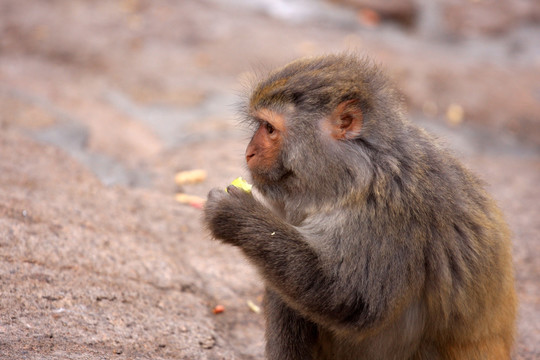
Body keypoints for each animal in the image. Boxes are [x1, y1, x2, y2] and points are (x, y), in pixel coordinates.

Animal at [202, 54, 516, 360]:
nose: (249, 152)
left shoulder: (392, 210)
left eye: (269, 129)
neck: (359, 171)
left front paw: (236, 215)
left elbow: (353, 298)